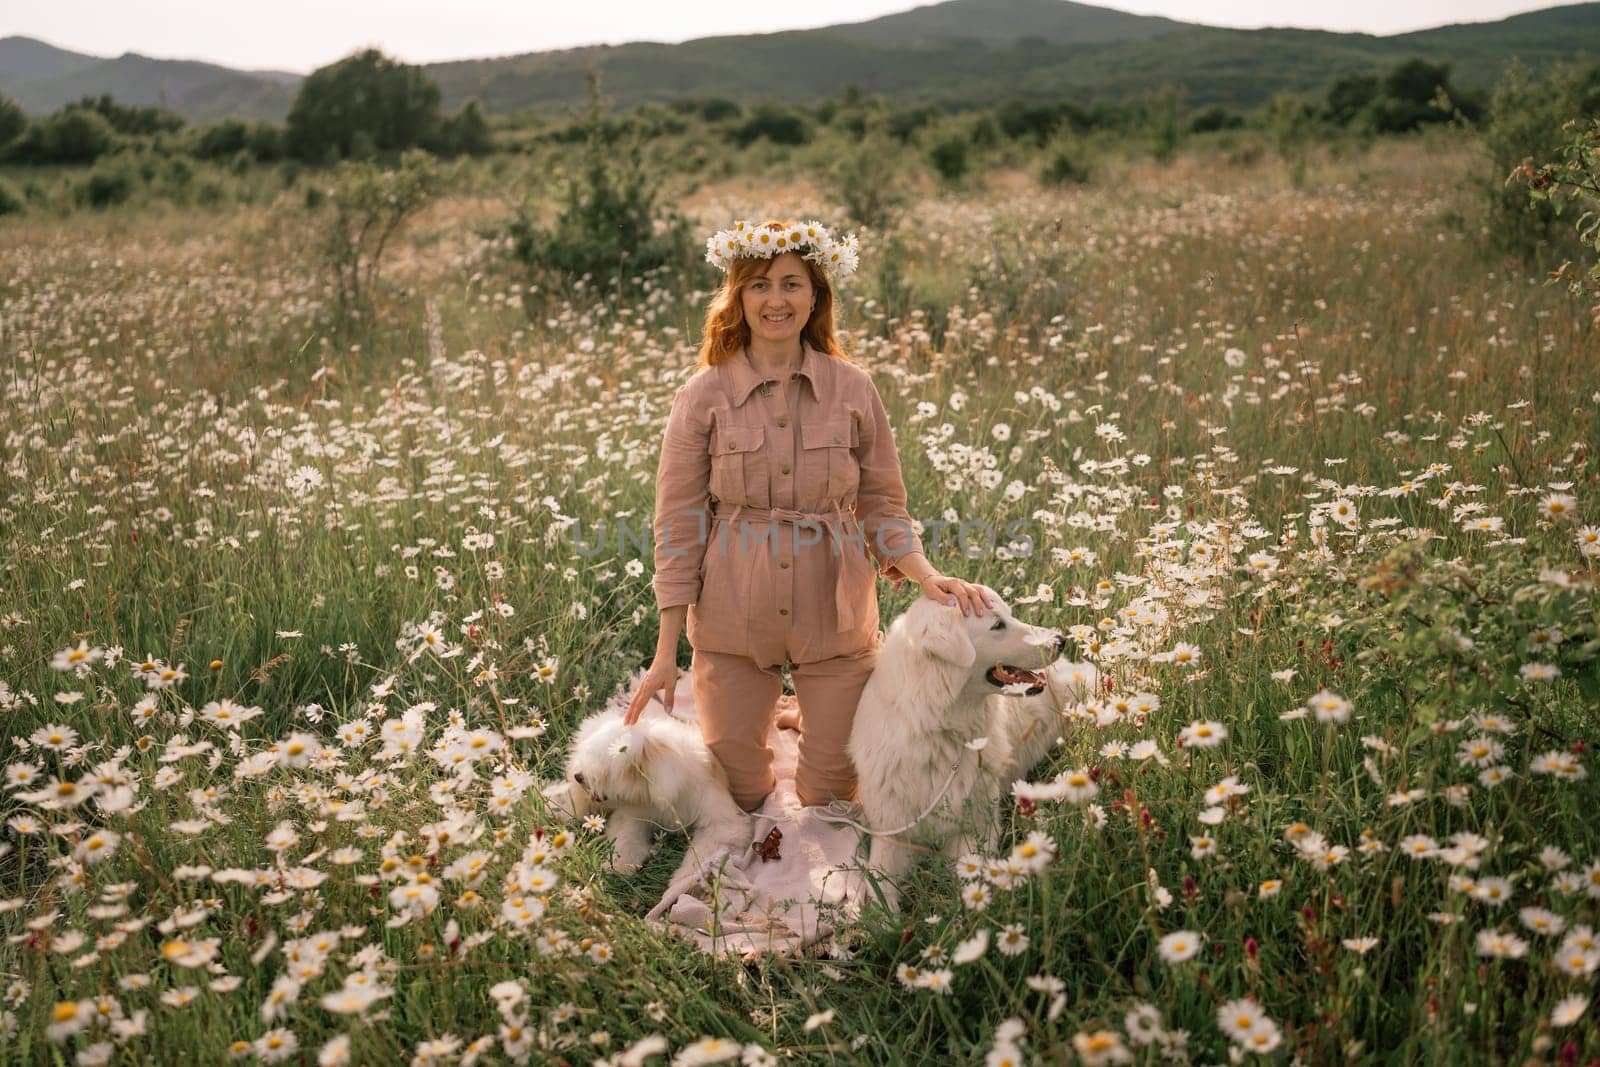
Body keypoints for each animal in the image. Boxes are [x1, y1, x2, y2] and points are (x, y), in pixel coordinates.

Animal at [544, 703, 748, 870]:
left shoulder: (718, 822)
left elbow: (704, 851)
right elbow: (626, 838)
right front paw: (619, 865)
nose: (579, 776)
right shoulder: (632, 814)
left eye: (604, 772)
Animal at [844, 588, 1068, 908]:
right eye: (997, 625)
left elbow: (971, 877)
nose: (1061, 640)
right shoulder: (892, 834)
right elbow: (880, 890)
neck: (939, 729)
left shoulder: (978, 828)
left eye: (1010, 615)